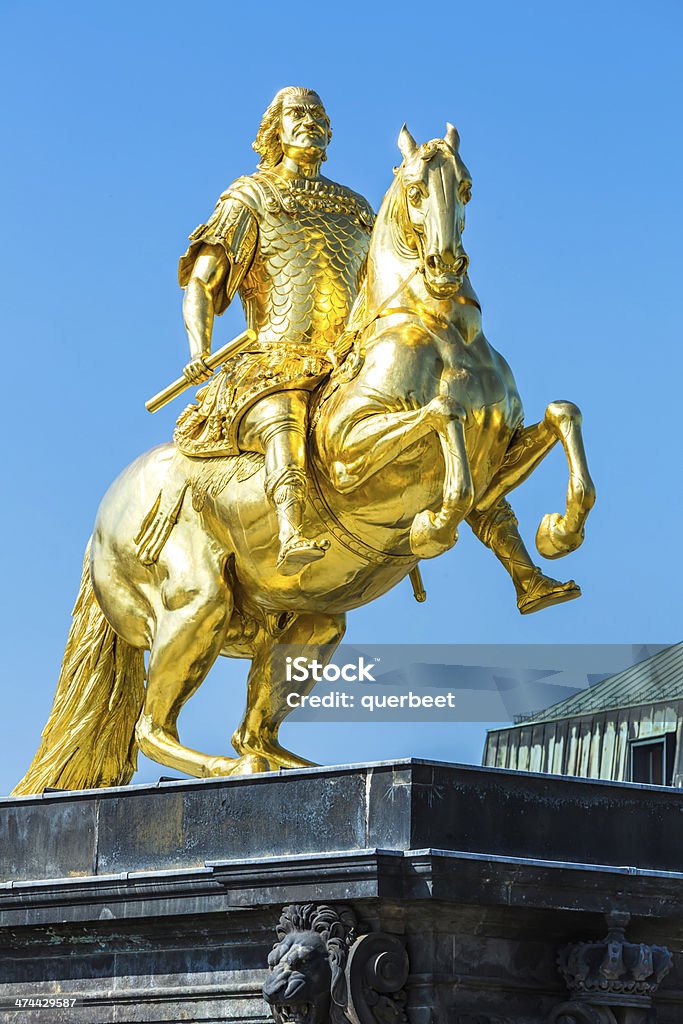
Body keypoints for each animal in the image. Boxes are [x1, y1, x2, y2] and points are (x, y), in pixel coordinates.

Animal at [12, 128, 593, 794]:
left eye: (466, 186)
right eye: (416, 189)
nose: (446, 267)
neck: (442, 332)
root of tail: (102, 523)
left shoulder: (497, 450)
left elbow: (556, 421)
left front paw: (557, 538)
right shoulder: (347, 461)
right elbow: (443, 417)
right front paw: (433, 526)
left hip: (313, 622)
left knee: (252, 726)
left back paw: (290, 763)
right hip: (196, 605)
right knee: (152, 729)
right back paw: (230, 768)